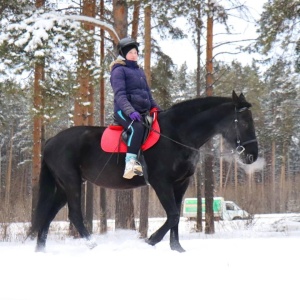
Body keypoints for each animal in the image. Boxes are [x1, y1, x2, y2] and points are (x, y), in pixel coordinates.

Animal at [30, 92, 258, 253]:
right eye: (244, 121)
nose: (252, 156)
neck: (176, 134)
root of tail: (51, 142)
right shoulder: (161, 182)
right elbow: (173, 215)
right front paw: (151, 240)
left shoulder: (180, 183)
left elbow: (175, 216)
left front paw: (177, 248)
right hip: (71, 182)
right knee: (75, 215)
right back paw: (92, 244)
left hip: (63, 186)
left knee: (49, 215)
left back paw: (41, 250)